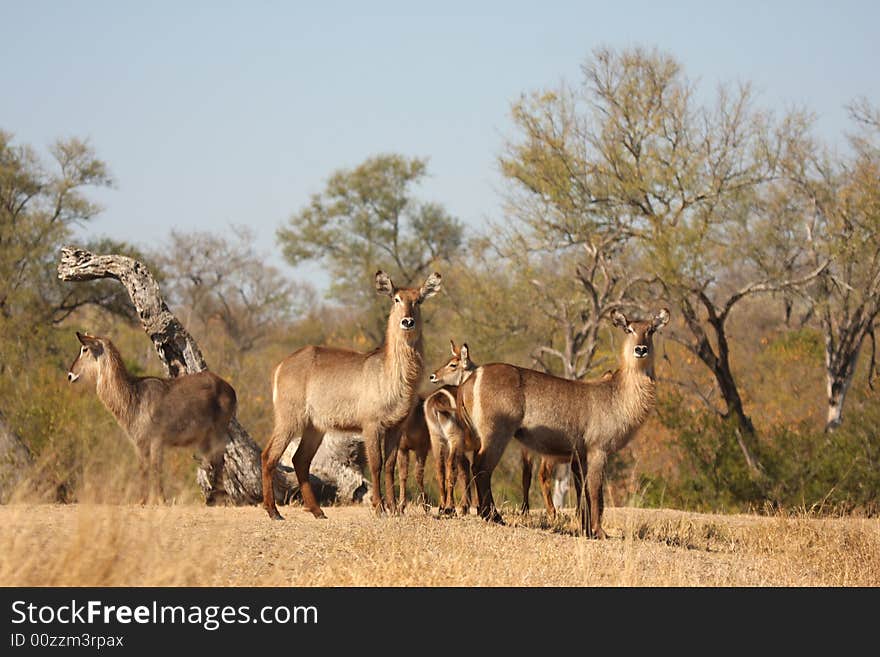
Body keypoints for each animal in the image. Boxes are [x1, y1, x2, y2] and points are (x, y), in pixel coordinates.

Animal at [66, 330, 235, 504]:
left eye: (84, 349)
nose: (70, 375)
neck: (133, 395)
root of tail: (230, 388)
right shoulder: (139, 443)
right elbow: (143, 469)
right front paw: (142, 500)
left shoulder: (156, 440)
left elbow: (156, 469)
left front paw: (161, 500)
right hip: (205, 439)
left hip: (217, 433)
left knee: (219, 462)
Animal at [260, 270, 440, 520]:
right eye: (396, 299)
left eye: (418, 300)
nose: (407, 321)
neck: (392, 374)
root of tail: (280, 366)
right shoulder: (371, 424)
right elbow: (376, 464)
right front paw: (379, 508)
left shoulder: (396, 426)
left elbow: (390, 466)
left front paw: (395, 509)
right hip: (289, 419)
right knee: (269, 455)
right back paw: (273, 511)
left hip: (315, 426)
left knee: (300, 459)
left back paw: (318, 512)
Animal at [458, 306, 672, 532]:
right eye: (629, 329)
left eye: (650, 330)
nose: (640, 349)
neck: (617, 394)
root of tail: (472, 378)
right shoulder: (598, 449)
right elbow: (596, 493)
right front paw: (599, 531)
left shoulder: (580, 455)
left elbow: (584, 493)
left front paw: (587, 529)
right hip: (496, 433)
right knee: (481, 467)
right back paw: (493, 516)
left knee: (477, 467)